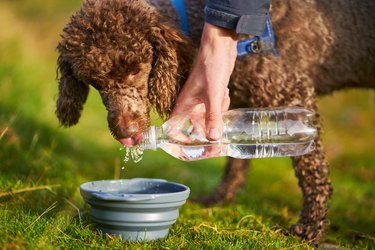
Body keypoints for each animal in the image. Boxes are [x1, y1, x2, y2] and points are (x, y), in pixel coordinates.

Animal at [56, 0, 375, 243]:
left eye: (136, 69)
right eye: (94, 80)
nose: (126, 132)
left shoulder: (292, 90)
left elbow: (312, 170)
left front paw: (311, 226)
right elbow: (236, 160)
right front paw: (220, 198)